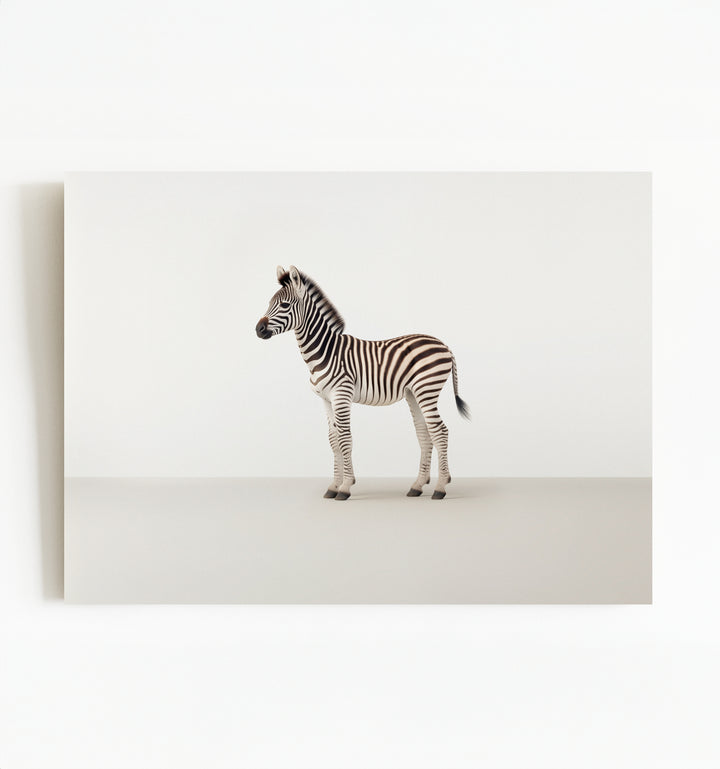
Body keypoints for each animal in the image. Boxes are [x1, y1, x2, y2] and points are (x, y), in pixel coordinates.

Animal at [255, 265, 470, 500]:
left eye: (284, 305)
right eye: (269, 303)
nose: (258, 329)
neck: (324, 352)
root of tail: (444, 345)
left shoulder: (341, 395)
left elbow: (345, 438)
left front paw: (346, 487)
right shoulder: (326, 399)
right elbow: (333, 440)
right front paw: (333, 486)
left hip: (427, 389)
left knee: (440, 431)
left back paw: (440, 487)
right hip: (414, 393)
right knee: (424, 433)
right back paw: (418, 485)